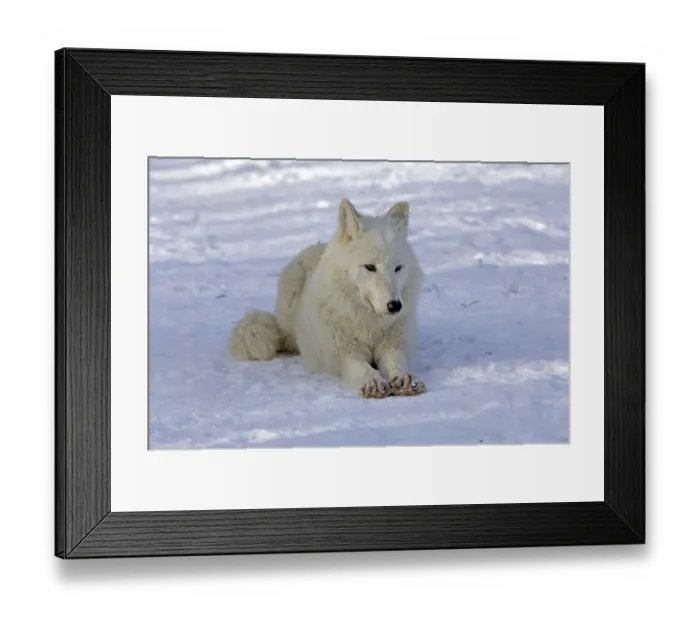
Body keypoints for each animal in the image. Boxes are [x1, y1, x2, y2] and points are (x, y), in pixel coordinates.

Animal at [228, 199, 425, 399]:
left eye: (398, 268)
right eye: (370, 267)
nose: (395, 306)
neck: (368, 324)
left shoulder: (393, 347)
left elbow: (396, 364)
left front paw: (403, 379)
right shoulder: (345, 355)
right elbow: (363, 369)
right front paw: (374, 382)